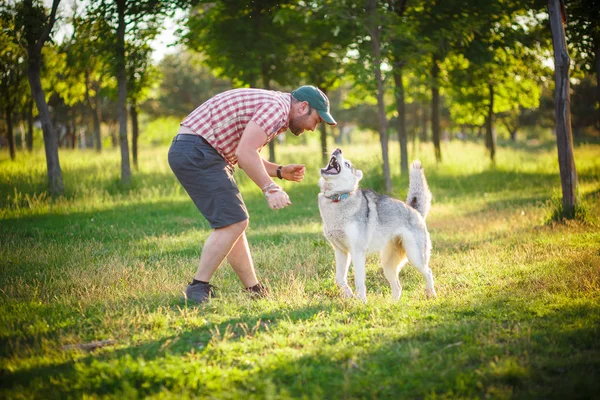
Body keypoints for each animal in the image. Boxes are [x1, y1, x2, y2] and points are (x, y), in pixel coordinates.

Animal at [318, 148, 436, 302]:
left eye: (347, 164)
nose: (338, 150)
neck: (337, 198)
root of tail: (415, 210)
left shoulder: (357, 252)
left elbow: (359, 281)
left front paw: (361, 301)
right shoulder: (341, 251)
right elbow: (339, 279)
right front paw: (349, 295)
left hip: (415, 257)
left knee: (429, 272)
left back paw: (431, 294)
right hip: (387, 265)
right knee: (398, 287)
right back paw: (392, 303)